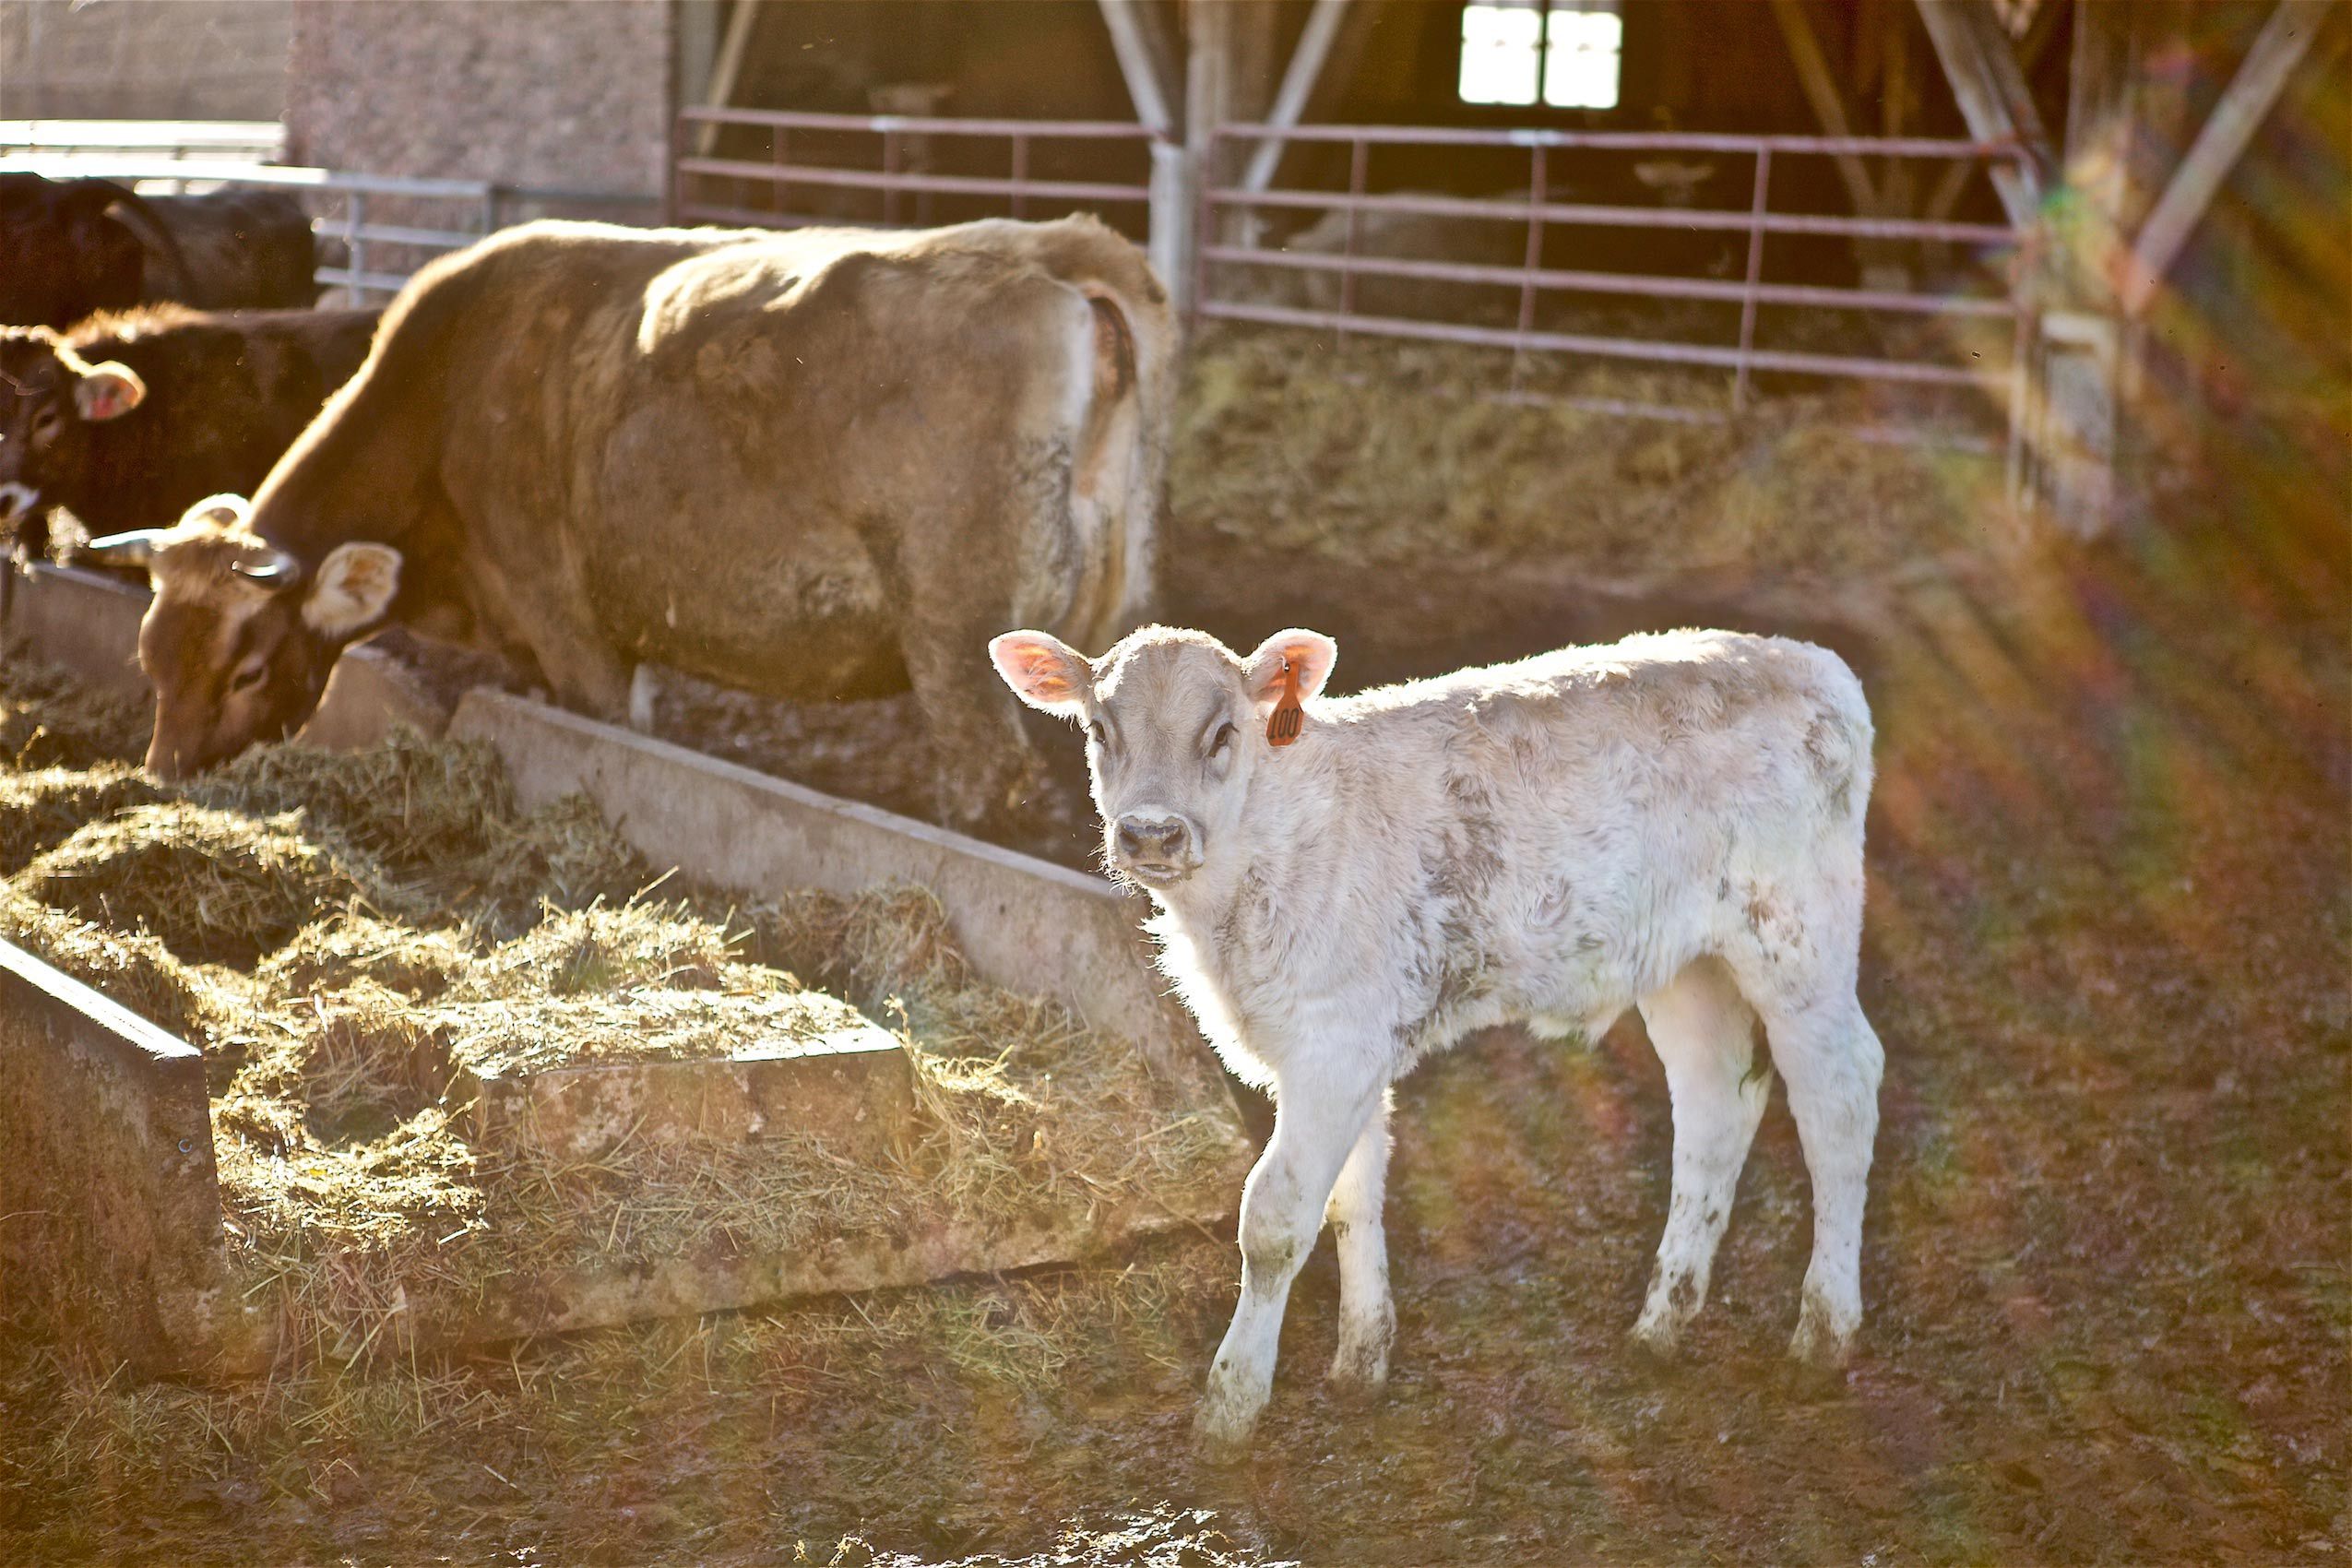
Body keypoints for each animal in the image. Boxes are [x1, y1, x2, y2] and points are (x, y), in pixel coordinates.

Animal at [80, 215, 1173, 822]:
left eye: (247, 669)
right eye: (148, 656)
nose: (165, 777)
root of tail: (1049, 250)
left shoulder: (571, 631)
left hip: (954, 641)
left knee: (985, 782)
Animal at [989, 622, 1885, 1459]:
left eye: (1222, 732)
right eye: (1099, 729)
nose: (1150, 833)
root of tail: (1807, 660)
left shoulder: (1334, 1044)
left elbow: (1275, 1221)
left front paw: (1230, 1407)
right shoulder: (1345, 1048)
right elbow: (1351, 1196)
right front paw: (1360, 1364)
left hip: (1798, 932)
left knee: (1839, 1096)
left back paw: (1822, 1336)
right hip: (1682, 961)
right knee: (1715, 1101)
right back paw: (1661, 1326)